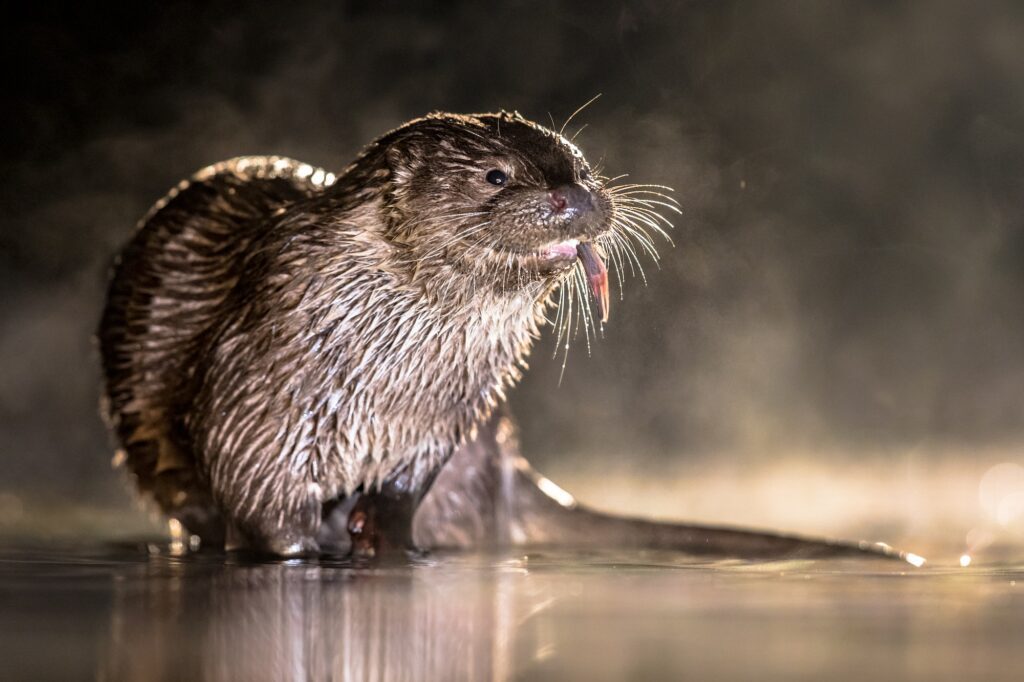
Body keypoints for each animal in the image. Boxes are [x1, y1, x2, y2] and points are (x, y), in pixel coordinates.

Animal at [99, 111, 916, 563]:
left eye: (578, 164)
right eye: (496, 176)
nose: (576, 197)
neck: (386, 380)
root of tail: (509, 470)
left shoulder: (444, 419)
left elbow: (404, 491)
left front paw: (383, 535)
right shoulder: (249, 399)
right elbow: (258, 500)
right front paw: (309, 543)